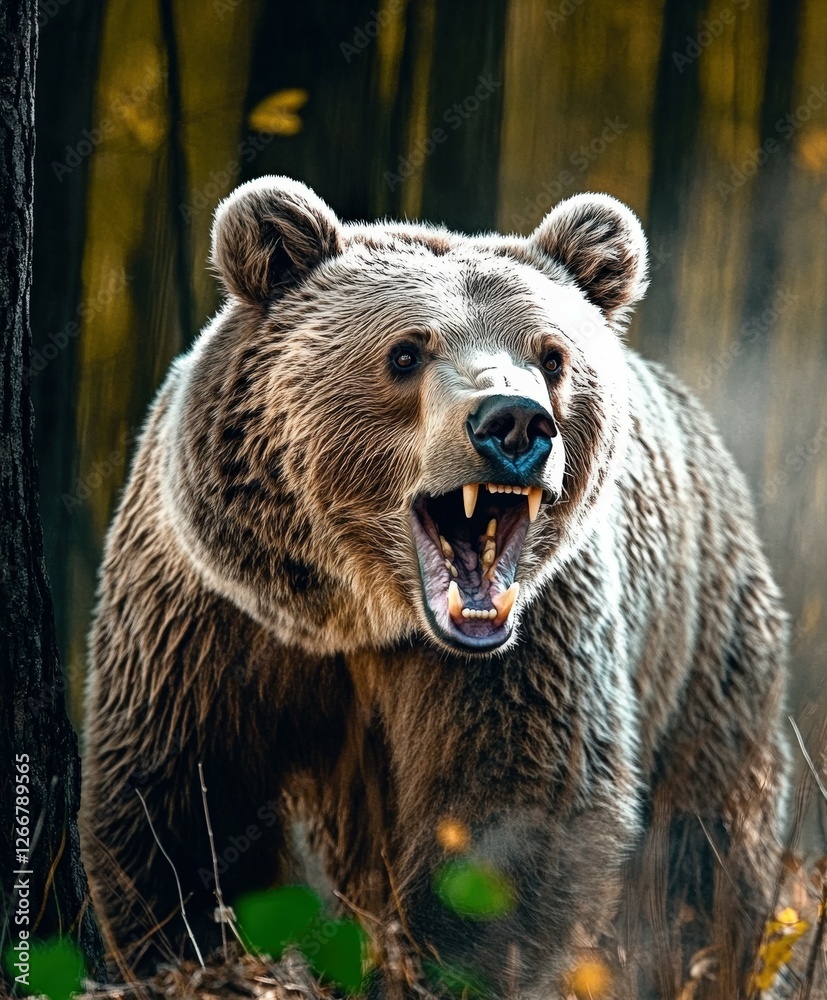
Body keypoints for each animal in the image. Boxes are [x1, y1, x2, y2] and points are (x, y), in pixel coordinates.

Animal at [81, 176, 788, 998]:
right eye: (405, 351)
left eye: (552, 356)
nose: (514, 423)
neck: (358, 613)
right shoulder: (210, 610)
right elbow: (182, 796)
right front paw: (192, 953)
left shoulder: (528, 644)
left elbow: (507, 811)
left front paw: (440, 962)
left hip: (707, 654)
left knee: (702, 861)